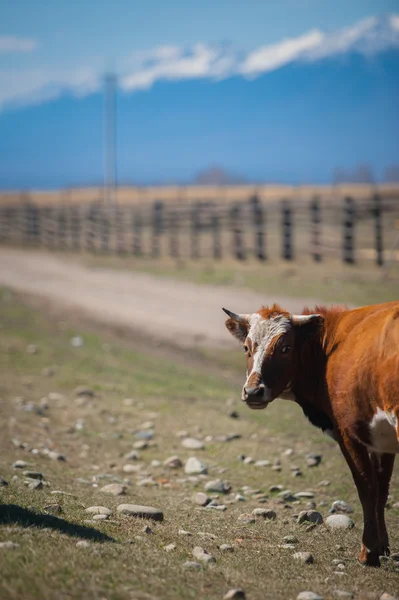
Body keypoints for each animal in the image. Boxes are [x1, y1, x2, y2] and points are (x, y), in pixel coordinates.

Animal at [223, 300, 398, 568]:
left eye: (285, 347)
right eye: (246, 347)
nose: (252, 391)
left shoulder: (348, 433)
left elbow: (366, 488)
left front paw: (368, 552)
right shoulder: (382, 440)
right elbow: (381, 490)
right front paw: (383, 546)